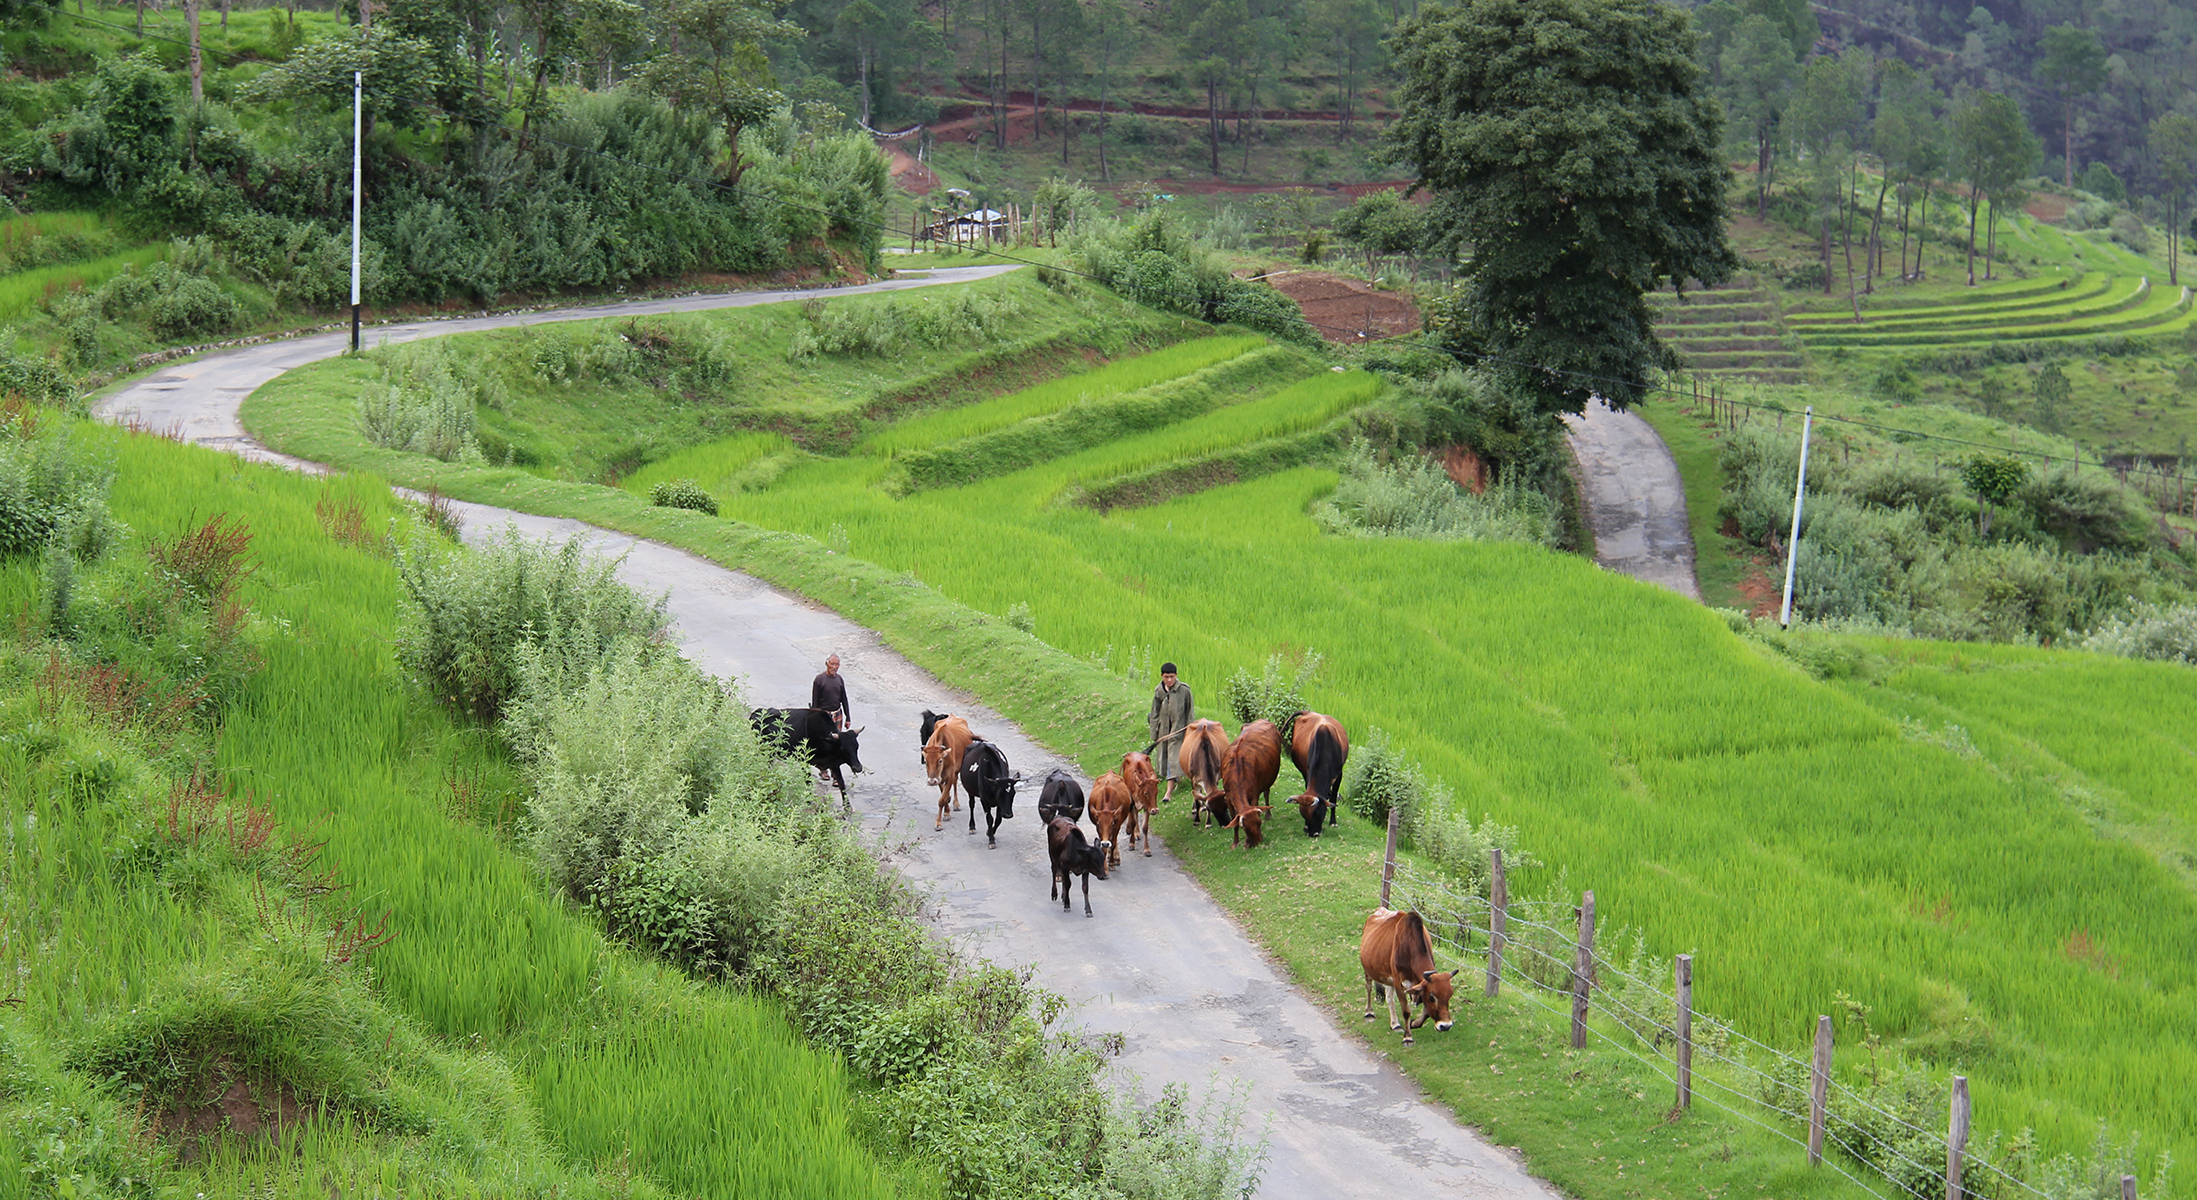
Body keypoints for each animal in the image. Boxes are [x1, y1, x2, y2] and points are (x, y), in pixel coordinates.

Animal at [1353, 905, 1458, 1037]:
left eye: (1450, 995)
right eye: (1432, 997)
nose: (1446, 1026)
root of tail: (1379, 909)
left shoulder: (1418, 985)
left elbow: (1426, 1011)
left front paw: (1414, 1023)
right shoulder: (1398, 982)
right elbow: (1406, 1010)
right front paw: (1408, 1037)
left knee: (1389, 999)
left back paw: (1395, 1024)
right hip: (1368, 969)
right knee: (1369, 987)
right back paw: (1369, 1012)